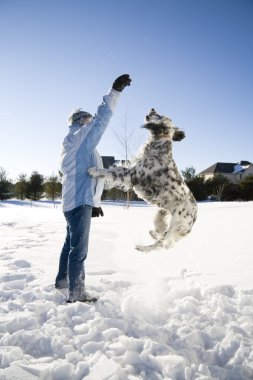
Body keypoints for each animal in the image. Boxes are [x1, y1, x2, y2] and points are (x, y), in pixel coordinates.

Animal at [89, 109, 198, 252]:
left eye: (159, 115)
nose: (152, 109)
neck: (158, 145)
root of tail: (195, 215)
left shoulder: (132, 174)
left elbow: (110, 172)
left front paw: (94, 171)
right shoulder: (130, 172)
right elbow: (114, 170)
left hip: (175, 223)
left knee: (161, 242)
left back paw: (142, 248)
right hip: (161, 212)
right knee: (163, 237)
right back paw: (153, 234)